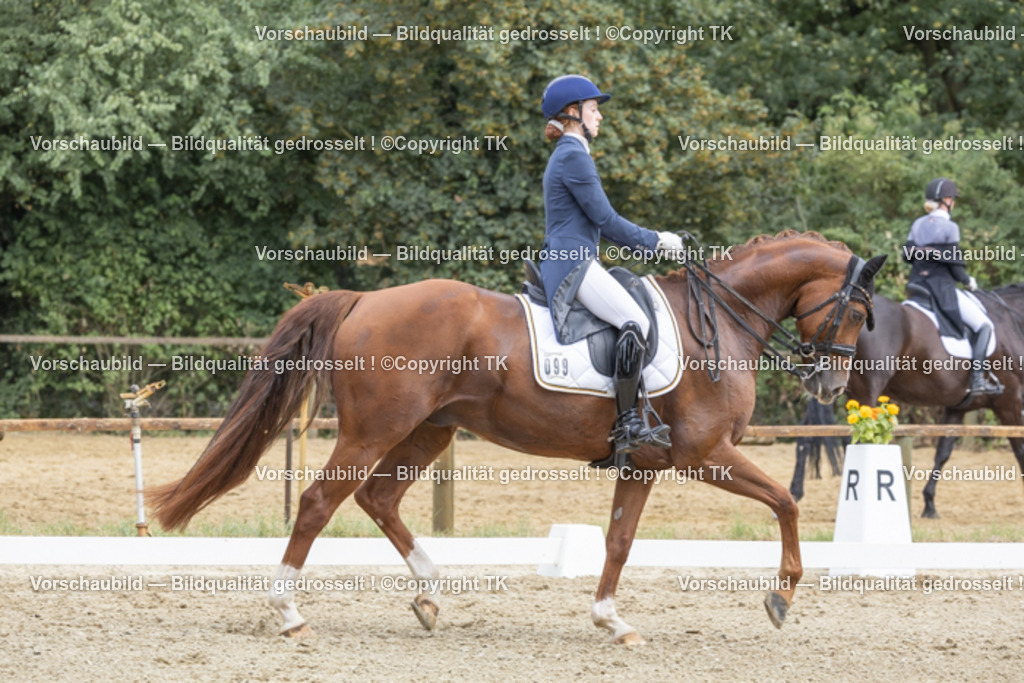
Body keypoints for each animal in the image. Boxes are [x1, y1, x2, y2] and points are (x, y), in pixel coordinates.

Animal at [147, 231, 884, 644]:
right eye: (855, 311)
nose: (828, 384)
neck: (719, 322)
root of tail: (364, 299)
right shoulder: (707, 455)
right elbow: (786, 503)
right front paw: (781, 597)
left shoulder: (644, 462)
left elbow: (619, 539)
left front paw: (610, 620)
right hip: (375, 430)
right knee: (319, 503)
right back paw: (288, 612)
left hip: (428, 432)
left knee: (378, 500)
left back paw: (429, 593)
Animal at [791, 286, 1024, 517]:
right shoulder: (1009, 402)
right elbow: (1019, 449)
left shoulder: (957, 408)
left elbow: (943, 453)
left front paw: (929, 504)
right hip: (864, 392)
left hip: (831, 390)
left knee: (806, 436)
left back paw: (795, 493)